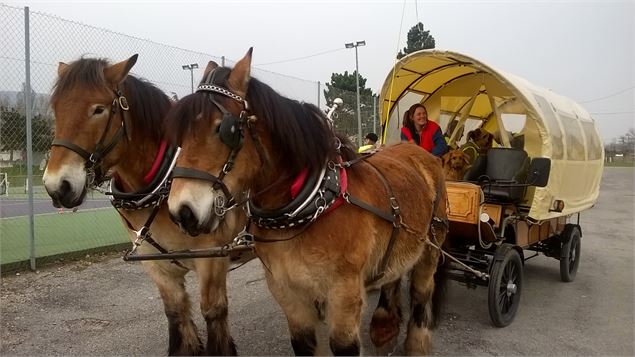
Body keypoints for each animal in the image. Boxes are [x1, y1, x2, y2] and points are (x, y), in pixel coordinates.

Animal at [40, 55, 243, 354]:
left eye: (98, 109)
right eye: (56, 108)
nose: (57, 186)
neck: (162, 185)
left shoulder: (212, 260)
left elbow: (214, 312)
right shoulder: (155, 265)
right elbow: (176, 311)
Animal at [166, 48, 450, 354]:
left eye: (225, 130)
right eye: (178, 135)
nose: (182, 211)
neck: (312, 205)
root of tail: (418, 152)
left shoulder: (344, 293)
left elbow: (344, 344)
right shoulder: (287, 292)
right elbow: (303, 341)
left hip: (431, 246)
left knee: (422, 292)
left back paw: (417, 342)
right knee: (393, 276)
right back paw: (385, 325)